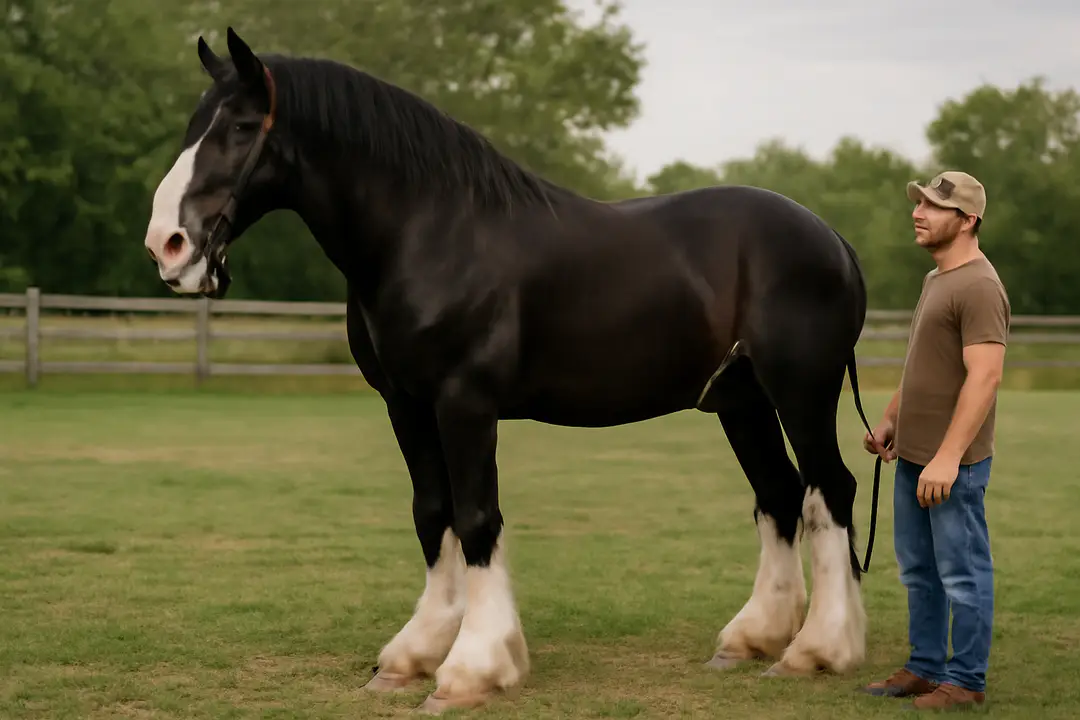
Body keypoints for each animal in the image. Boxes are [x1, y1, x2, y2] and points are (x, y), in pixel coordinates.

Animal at [143, 27, 882, 715]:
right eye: (193, 126)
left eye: (241, 128)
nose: (167, 245)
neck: (430, 232)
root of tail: (833, 238)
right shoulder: (406, 404)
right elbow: (432, 513)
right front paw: (412, 656)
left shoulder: (464, 401)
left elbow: (476, 517)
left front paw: (473, 666)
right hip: (741, 401)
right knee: (780, 494)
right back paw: (753, 639)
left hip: (801, 393)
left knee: (829, 491)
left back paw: (818, 649)